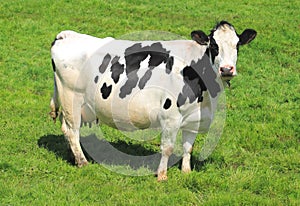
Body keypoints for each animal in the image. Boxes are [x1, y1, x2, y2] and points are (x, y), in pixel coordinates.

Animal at [49, 20, 255, 181]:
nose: (227, 69)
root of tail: (66, 35)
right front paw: (162, 176)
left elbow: (188, 147)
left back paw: (73, 156)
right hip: (71, 97)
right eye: (213, 45)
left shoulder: (194, 119)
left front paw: (186, 172)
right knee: (72, 130)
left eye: (237, 45)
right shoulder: (170, 117)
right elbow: (168, 148)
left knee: (66, 128)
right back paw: (82, 161)